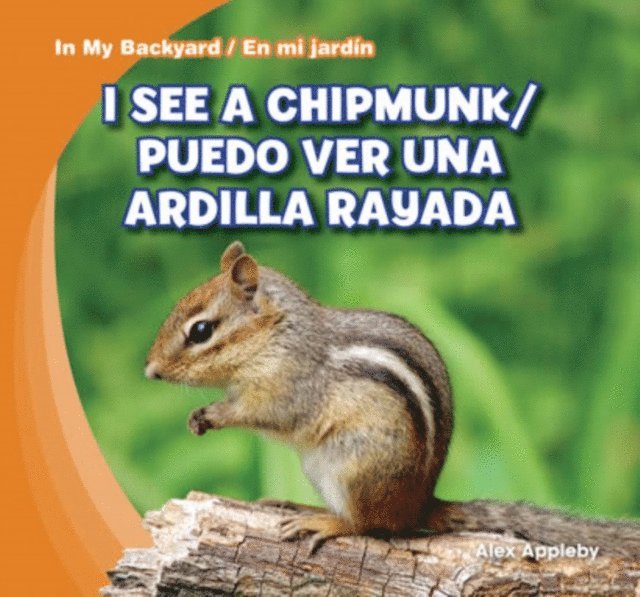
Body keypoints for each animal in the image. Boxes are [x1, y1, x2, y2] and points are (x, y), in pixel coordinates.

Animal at [145, 241, 640, 557]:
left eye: (201, 331)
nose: (150, 371)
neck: (278, 335)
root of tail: (419, 504)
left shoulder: (289, 387)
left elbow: (263, 413)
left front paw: (211, 414)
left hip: (354, 466)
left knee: (368, 526)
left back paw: (325, 521)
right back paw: (303, 506)